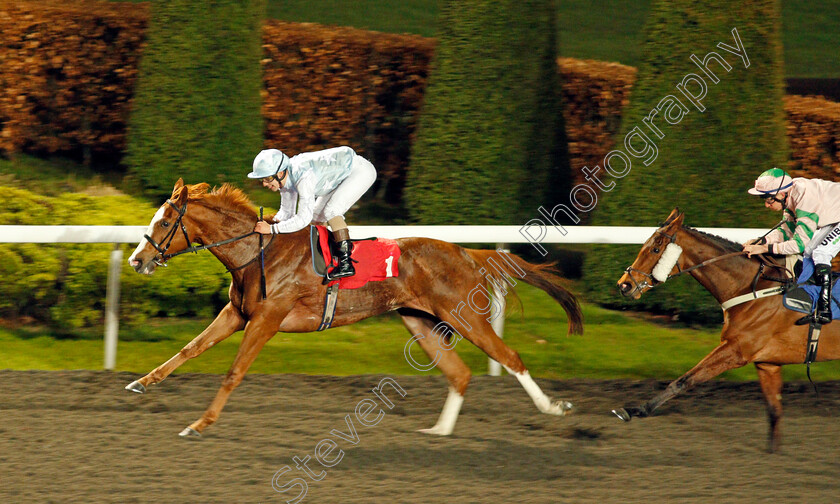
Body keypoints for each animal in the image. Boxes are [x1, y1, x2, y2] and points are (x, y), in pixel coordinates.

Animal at [124, 180, 584, 438]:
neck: (257, 252)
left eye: (164, 222)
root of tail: (467, 253)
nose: (137, 260)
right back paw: (439, 429)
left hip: (466, 316)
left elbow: (234, 372)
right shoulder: (237, 313)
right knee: (460, 374)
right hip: (420, 322)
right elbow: (191, 348)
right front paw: (141, 382)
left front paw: (199, 424)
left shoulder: (266, 319)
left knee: (510, 357)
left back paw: (552, 408)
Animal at [612, 209, 840, 452]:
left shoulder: (736, 350)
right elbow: (774, 410)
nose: (624, 285)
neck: (754, 288)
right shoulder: (766, 363)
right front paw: (773, 452)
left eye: (656, 248)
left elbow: (684, 380)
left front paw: (635, 410)